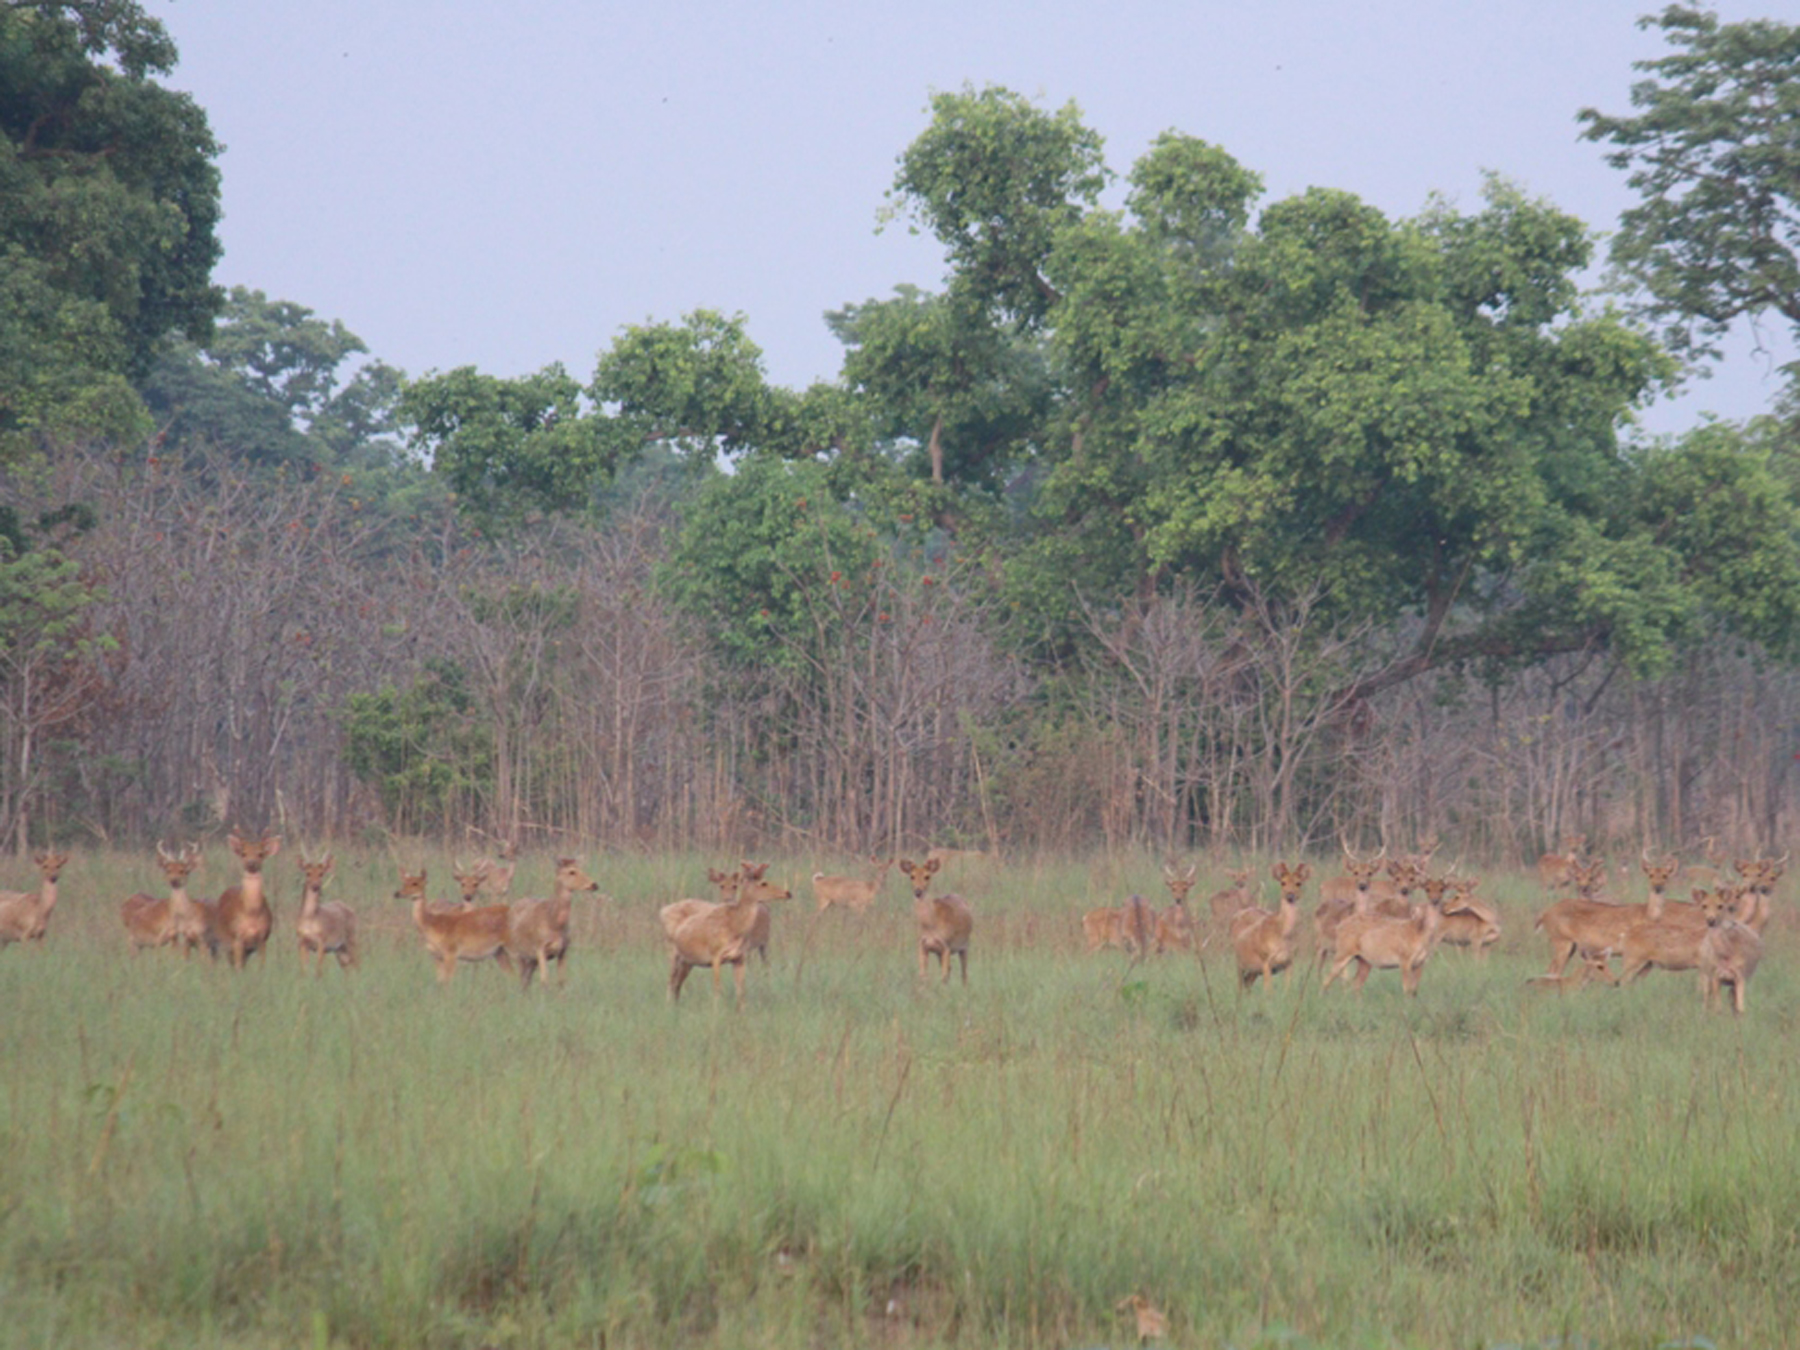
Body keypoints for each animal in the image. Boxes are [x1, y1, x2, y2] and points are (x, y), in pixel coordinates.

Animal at [1324, 871, 1447, 1000]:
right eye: (1427, 889)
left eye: (1442, 889)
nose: (1435, 900)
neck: (1419, 934)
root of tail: (1339, 927)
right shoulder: (1404, 959)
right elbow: (1407, 989)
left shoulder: (1420, 963)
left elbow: (1414, 991)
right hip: (1343, 952)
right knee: (1327, 979)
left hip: (1364, 960)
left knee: (1355, 984)